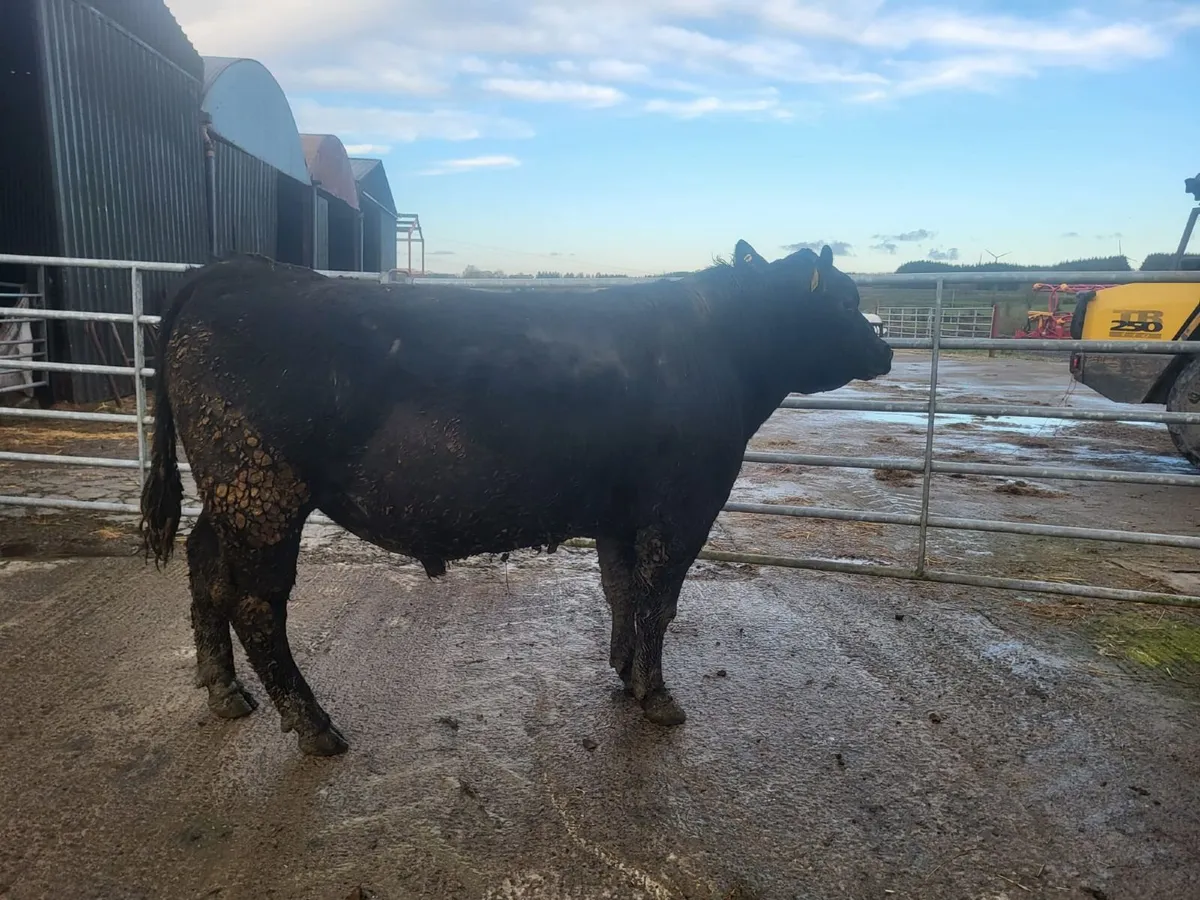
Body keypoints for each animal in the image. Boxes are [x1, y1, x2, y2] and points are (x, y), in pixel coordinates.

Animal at [139, 240, 893, 756]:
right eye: (845, 299)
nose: (884, 350)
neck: (722, 348)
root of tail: (235, 271)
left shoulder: (620, 512)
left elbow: (623, 591)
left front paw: (624, 674)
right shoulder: (681, 507)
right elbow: (659, 600)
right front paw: (657, 698)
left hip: (231, 493)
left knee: (204, 566)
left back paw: (224, 691)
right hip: (263, 489)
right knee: (255, 603)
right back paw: (315, 727)